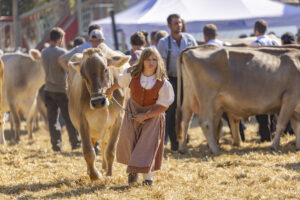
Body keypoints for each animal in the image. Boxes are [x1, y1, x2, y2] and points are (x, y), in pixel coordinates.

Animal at [68, 46, 130, 180]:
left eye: (105, 69)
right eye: (83, 75)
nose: (97, 102)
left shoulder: (118, 120)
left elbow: (110, 150)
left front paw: (109, 175)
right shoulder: (82, 121)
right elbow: (88, 151)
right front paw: (94, 175)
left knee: (104, 145)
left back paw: (105, 167)